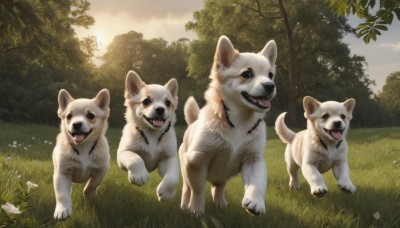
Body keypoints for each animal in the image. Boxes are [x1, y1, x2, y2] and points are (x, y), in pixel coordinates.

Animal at [52, 88, 111, 220]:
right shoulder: (62, 173)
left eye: (90, 116)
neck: (83, 147)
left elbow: (93, 183)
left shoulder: (101, 169)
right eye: (69, 116)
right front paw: (63, 209)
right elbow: (62, 194)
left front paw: (88, 194)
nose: (77, 124)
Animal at [117, 71, 180, 201]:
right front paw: (139, 175)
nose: (160, 109)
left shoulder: (169, 158)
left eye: (168, 103)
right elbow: (134, 158)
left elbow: (173, 176)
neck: (152, 134)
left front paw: (167, 193)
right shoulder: (123, 153)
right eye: (146, 101)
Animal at [179, 34, 276, 216]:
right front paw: (196, 209)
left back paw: (220, 203)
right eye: (247, 74)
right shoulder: (196, 161)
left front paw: (255, 202)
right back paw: (185, 205)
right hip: (186, 168)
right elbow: (198, 189)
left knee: (219, 186)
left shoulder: (254, 160)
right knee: (188, 189)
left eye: (270, 75)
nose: (270, 85)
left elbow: (257, 183)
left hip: (223, 175)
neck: (240, 121)